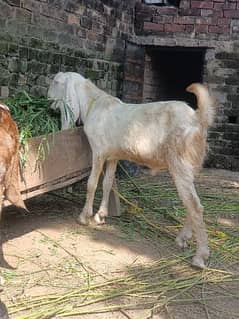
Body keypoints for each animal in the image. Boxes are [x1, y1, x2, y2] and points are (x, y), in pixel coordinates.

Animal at [48, 71, 215, 268]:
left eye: (56, 82)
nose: (48, 99)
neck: (94, 104)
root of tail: (198, 118)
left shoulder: (98, 151)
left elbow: (92, 184)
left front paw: (84, 217)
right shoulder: (112, 156)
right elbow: (107, 184)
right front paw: (100, 216)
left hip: (180, 163)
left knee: (194, 205)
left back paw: (200, 256)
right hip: (191, 166)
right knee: (192, 202)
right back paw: (183, 238)